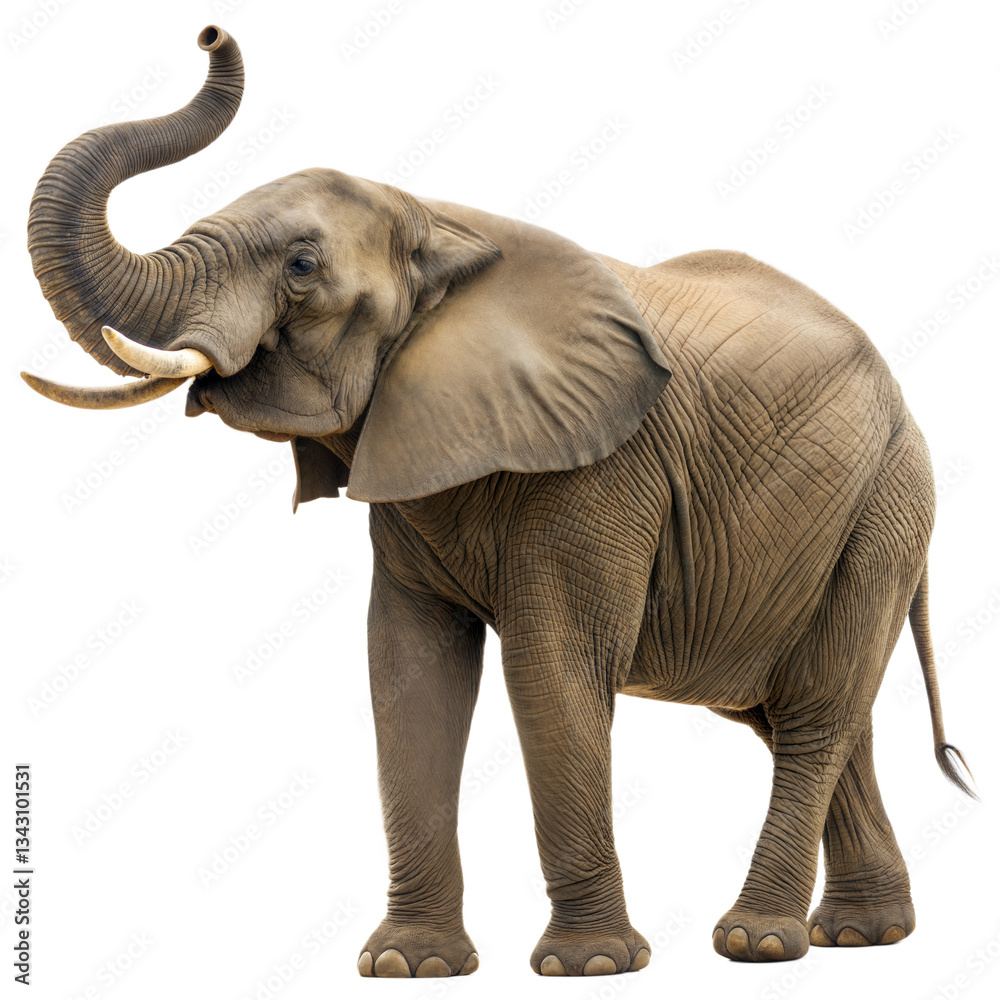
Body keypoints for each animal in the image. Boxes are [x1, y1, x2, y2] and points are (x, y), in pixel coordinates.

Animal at [24, 26, 973, 979]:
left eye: (300, 266)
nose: (210, 33)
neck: (439, 223)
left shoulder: (604, 466)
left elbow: (552, 667)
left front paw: (589, 966)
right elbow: (408, 670)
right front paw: (408, 966)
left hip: (886, 506)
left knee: (814, 712)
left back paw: (758, 942)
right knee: (800, 712)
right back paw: (862, 934)